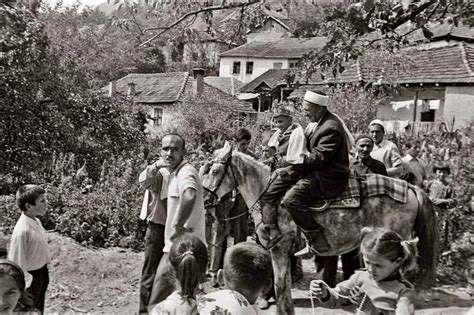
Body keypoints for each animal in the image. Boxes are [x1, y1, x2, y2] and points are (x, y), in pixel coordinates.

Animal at [202, 142, 438, 314]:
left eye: (215, 171)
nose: (205, 200)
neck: (268, 196)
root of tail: (410, 188)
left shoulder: (279, 248)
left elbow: (280, 287)